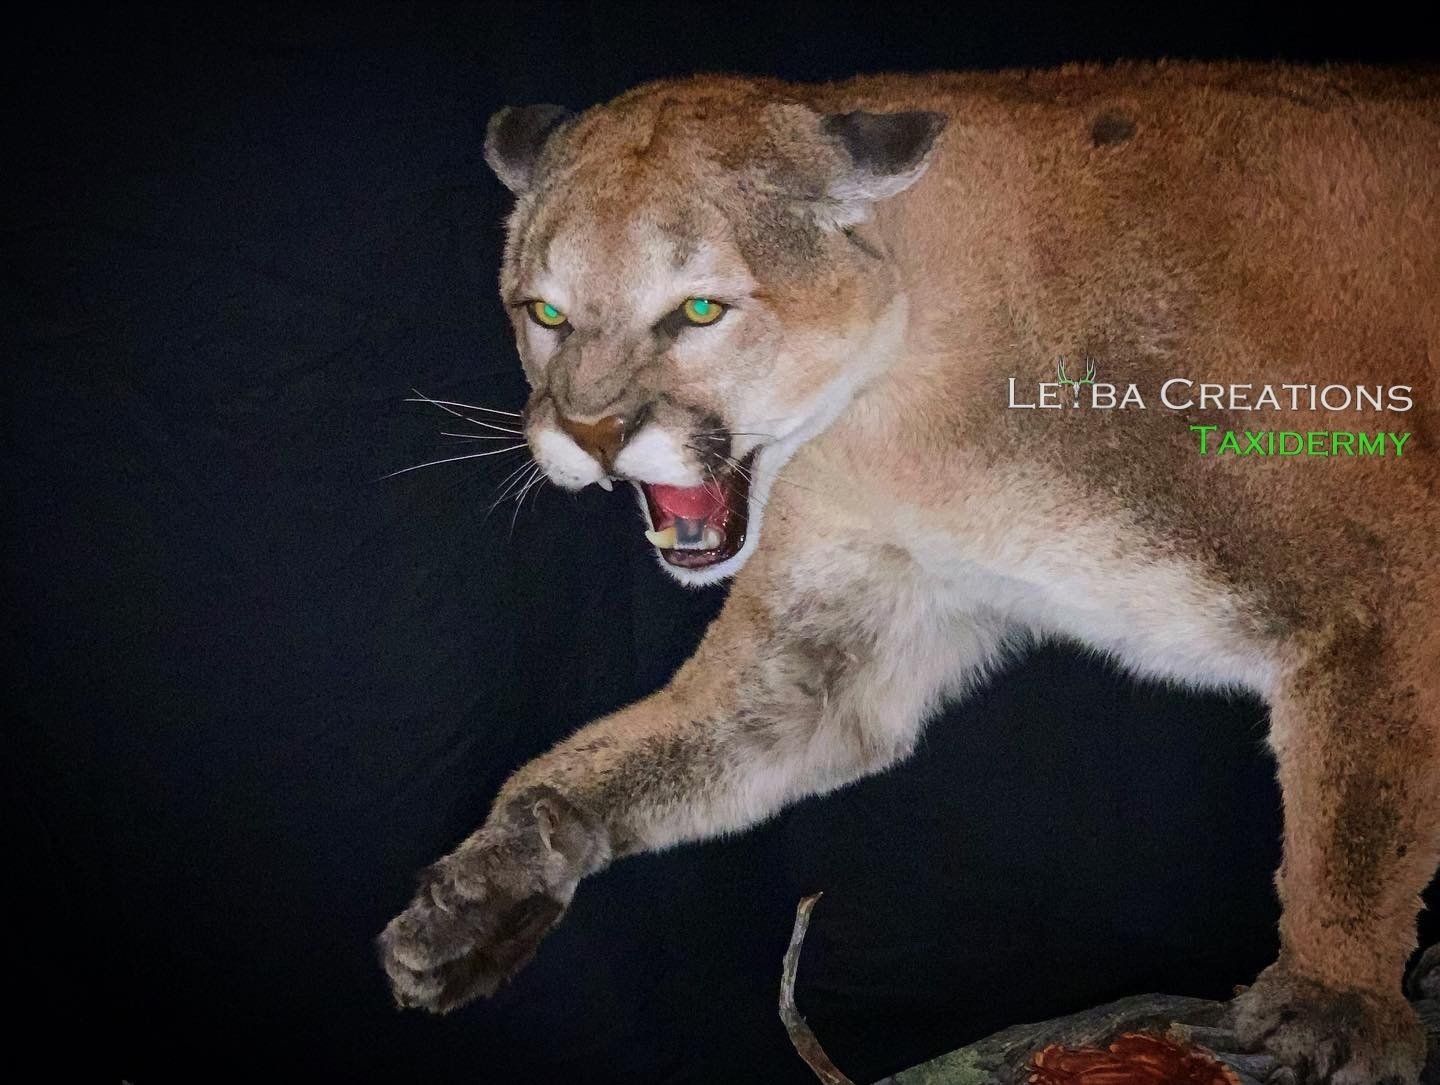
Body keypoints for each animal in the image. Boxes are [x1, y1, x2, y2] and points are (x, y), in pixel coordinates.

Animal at [379, 62, 1440, 1083]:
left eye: (699, 310)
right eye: (546, 312)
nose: (592, 431)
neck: (897, 402)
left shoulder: (1389, 577)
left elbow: (1359, 814)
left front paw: (1331, 1003)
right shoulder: (834, 645)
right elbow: (654, 749)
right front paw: (490, 881)